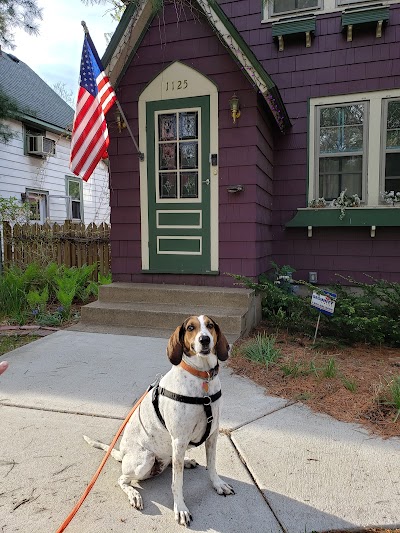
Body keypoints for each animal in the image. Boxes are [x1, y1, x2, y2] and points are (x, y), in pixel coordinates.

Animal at [83, 314, 234, 524]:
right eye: (190, 328)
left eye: (210, 325)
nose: (205, 339)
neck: (202, 378)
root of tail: (123, 454)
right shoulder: (179, 440)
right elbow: (177, 482)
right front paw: (180, 508)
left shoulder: (212, 434)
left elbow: (212, 466)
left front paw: (218, 484)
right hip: (144, 460)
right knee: (122, 479)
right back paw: (134, 495)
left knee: (171, 462)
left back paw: (187, 461)